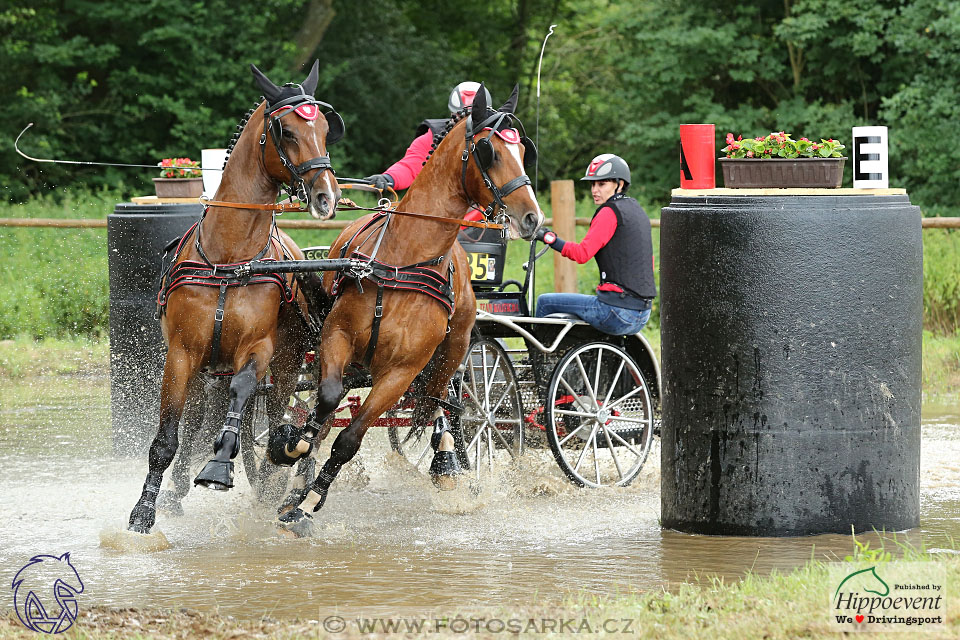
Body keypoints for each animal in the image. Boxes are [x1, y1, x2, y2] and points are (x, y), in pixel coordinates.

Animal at [128, 62, 342, 536]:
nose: (326, 196)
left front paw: (220, 464)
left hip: (286, 367)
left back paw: (272, 481)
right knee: (196, 418)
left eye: (323, 128)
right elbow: (167, 436)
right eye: (286, 130)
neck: (230, 259)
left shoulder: (258, 349)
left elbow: (243, 393)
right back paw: (177, 491)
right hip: (205, 369)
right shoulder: (182, 353)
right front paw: (145, 509)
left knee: (278, 418)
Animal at [274, 84, 544, 528]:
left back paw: (447, 458)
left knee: (442, 403)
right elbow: (326, 400)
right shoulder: (336, 338)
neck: (406, 261)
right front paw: (291, 447)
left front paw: (309, 501)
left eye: (524, 150)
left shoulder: (401, 371)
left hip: (453, 350)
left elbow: (350, 438)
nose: (532, 219)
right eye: (490, 151)